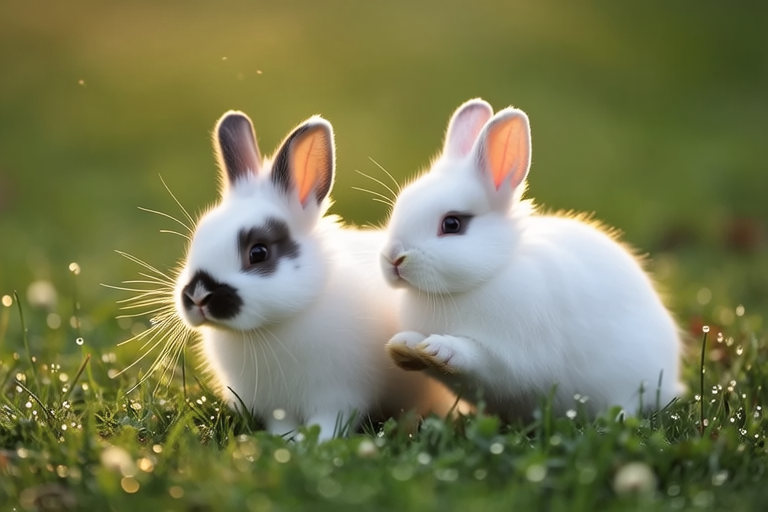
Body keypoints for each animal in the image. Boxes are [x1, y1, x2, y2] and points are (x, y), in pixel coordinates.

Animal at [174, 110, 457, 440]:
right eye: (197, 238)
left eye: (258, 252)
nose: (198, 295)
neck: (270, 329)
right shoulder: (274, 406)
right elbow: (281, 424)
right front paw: (285, 441)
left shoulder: (338, 395)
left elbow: (328, 423)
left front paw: (314, 443)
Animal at [380, 98, 684, 421]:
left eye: (452, 224)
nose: (393, 259)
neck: (490, 274)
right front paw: (405, 346)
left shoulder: (511, 357)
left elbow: (477, 357)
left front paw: (439, 349)